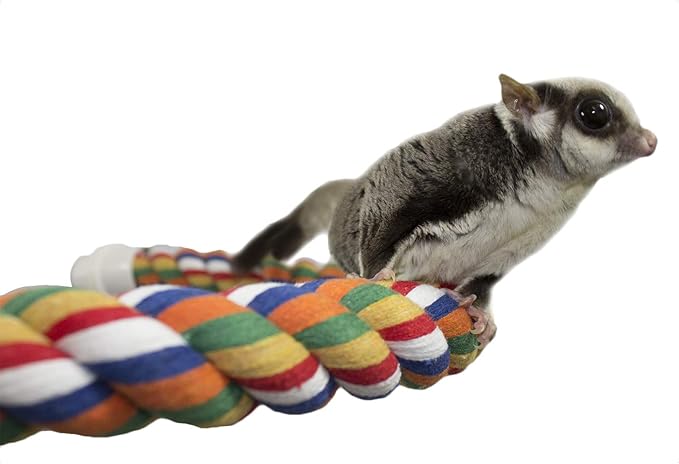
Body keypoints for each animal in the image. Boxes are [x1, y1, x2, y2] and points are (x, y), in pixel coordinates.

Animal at [233, 74, 657, 345]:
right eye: (594, 114)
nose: (651, 141)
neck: (547, 184)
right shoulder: (454, 163)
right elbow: (391, 194)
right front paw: (378, 275)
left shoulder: (540, 229)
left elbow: (488, 276)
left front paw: (482, 314)